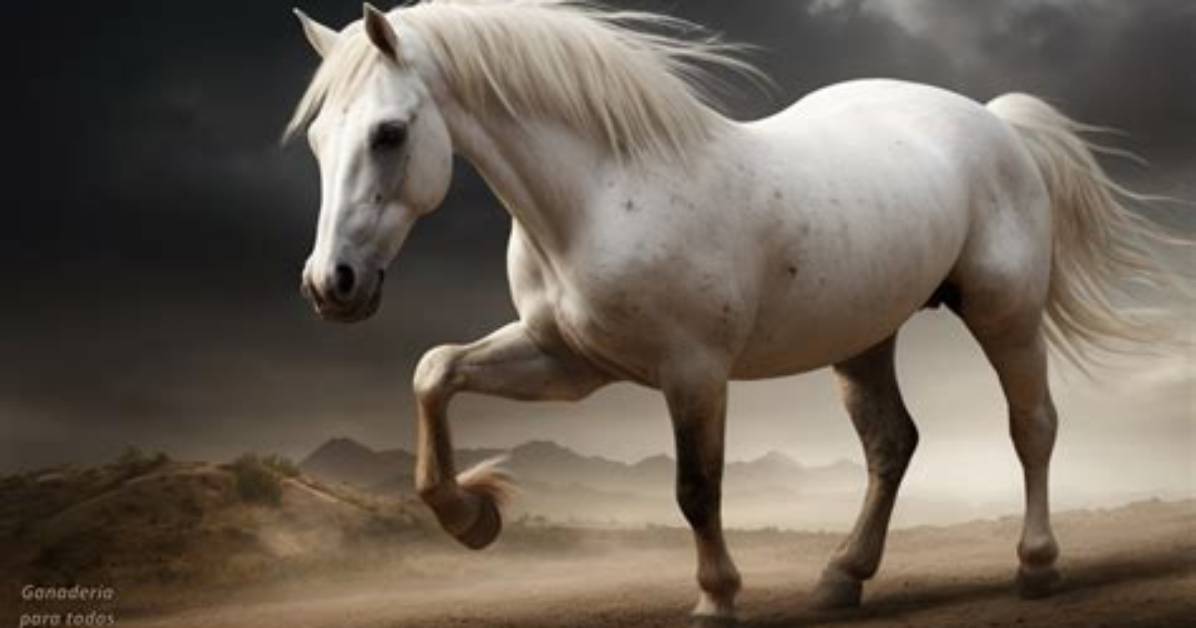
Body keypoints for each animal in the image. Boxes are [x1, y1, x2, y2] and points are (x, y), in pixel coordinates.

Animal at [284, 1, 1182, 622]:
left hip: (1005, 313)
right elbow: (433, 371)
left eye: (390, 132)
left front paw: (717, 597)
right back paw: (841, 579)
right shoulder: (568, 364)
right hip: (863, 338)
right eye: (320, 139)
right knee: (892, 446)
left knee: (1032, 426)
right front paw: (471, 516)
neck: (599, 196)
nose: (332, 285)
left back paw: (1037, 565)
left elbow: (696, 487)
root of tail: (994, 121)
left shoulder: (692, 373)